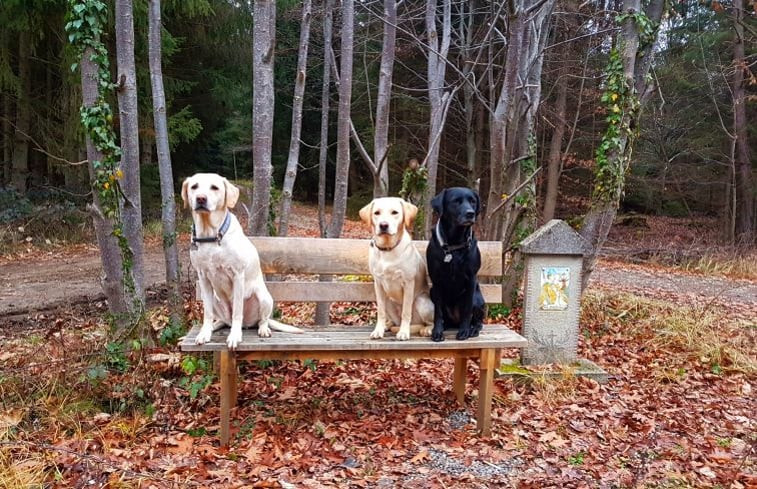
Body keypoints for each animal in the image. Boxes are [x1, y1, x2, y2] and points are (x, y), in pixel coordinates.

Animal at [182, 172, 302, 346]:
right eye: (194, 186)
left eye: (214, 187)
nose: (201, 199)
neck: (211, 236)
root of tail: (249, 324)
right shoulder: (203, 277)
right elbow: (208, 313)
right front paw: (205, 333)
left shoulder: (237, 276)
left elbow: (237, 312)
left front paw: (234, 336)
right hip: (215, 298)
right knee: (224, 320)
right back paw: (215, 326)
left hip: (264, 297)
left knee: (262, 320)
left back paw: (263, 329)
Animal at [358, 195, 432, 340]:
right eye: (376, 213)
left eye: (395, 212)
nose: (383, 225)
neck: (388, 249)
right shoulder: (378, 284)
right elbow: (380, 312)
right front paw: (378, 330)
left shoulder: (408, 283)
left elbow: (406, 312)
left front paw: (403, 332)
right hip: (388, 301)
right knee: (392, 319)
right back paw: (388, 325)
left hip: (422, 301)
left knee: (429, 322)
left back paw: (426, 329)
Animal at [426, 188, 484, 344]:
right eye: (456, 202)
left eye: (473, 201)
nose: (470, 213)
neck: (455, 244)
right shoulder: (436, 281)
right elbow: (438, 312)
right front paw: (437, 331)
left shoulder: (471, 279)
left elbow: (467, 309)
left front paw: (464, 331)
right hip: (432, 291)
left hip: (478, 298)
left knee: (478, 321)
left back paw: (473, 329)